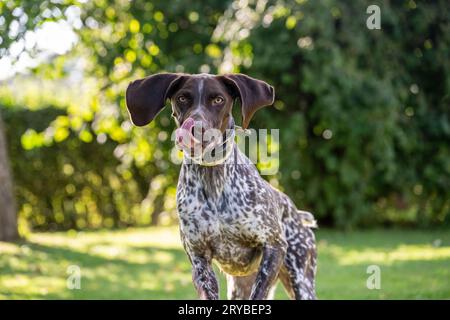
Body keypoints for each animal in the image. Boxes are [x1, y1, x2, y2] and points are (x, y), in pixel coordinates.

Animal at [125, 73, 318, 300]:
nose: (196, 128)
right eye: (182, 98)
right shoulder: (199, 259)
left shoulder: (274, 246)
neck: (213, 180)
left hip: (300, 279)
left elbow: (259, 291)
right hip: (239, 285)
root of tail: (296, 213)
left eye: (218, 100)